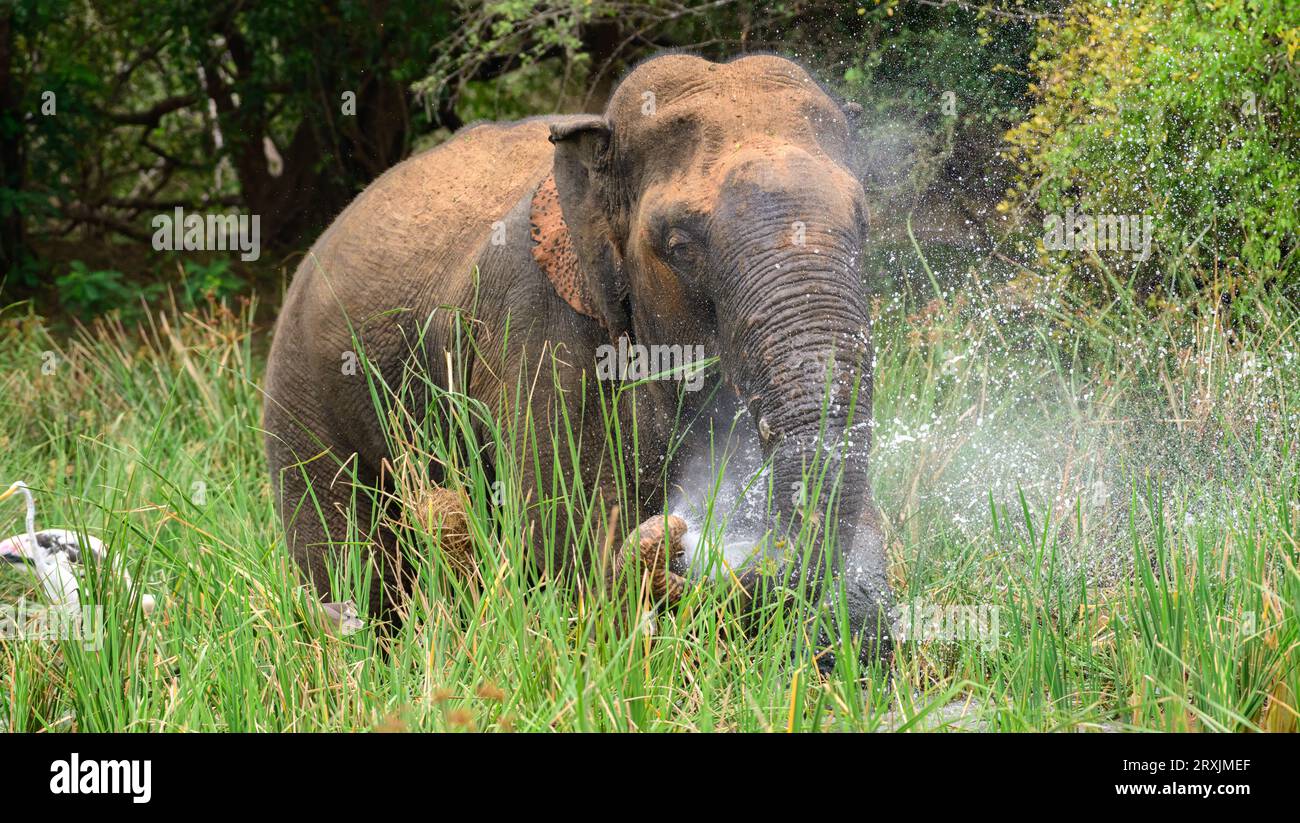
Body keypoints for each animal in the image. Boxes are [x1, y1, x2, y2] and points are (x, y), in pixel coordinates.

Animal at [263, 51, 894, 665]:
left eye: (864, 223)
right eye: (679, 246)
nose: (681, 536)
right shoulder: (534, 329)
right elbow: (562, 538)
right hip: (304, 396)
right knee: (346, 559)